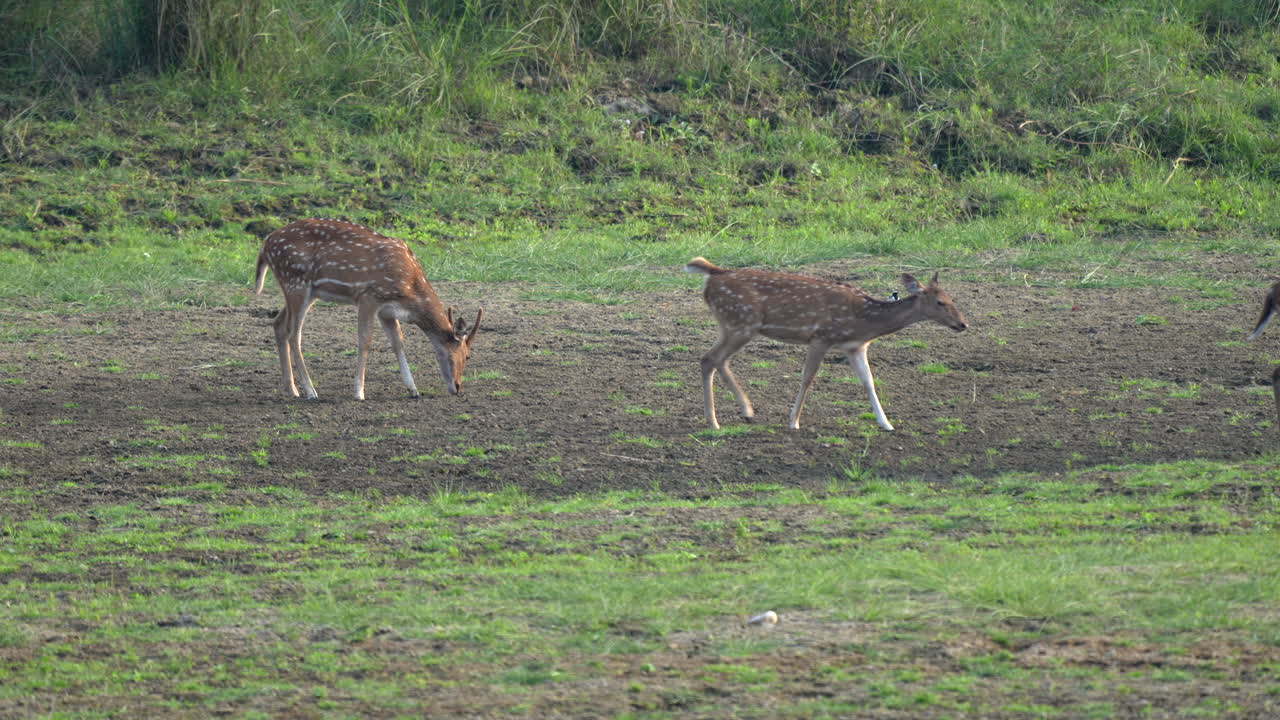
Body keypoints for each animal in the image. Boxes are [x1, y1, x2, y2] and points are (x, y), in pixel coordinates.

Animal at [254, 219, 481, 400]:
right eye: (467, 355)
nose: (457, 387)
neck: (409, 288)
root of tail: (265, 246)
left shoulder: (387, 311)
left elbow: (398, 342)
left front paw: (413, 389)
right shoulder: (368, 297)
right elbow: (365, 341)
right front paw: (359, 392)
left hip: (304, 291)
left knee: (279, 325)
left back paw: (292, 389)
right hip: (296, 282)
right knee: (294, 334)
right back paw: (310, 391)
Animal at [684, 257, 968, 431]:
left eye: (952, 298)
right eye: (940, 302)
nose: (963, 324)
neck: (863, 320)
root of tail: (713, 274)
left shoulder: (856, 346)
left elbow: (868, 381)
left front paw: (886, 423)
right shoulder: (821, 336)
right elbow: (808, 378)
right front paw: (794, 422)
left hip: (734, 325)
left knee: (715, 359)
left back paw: (745, 410)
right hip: (741, 323)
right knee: (711, 359)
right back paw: (715, 421)